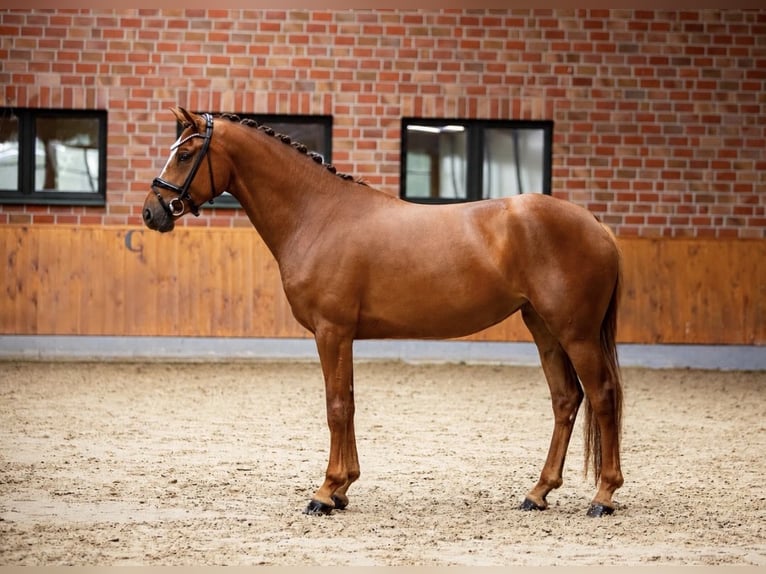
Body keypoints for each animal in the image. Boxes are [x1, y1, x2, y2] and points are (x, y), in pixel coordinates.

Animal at [142, 107, 624, 517]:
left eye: (185, 154)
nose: (152, 212)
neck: (318, 215)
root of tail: (596, 224)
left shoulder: (331, 331)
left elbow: (336, 405)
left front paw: (324, 492)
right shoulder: (343, 335)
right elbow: (350, 403)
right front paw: (343, 489)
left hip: (576, 333)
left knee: (602, 395)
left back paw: (603, 496)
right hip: (544, 328)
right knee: (566, 399)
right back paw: (538, 492)